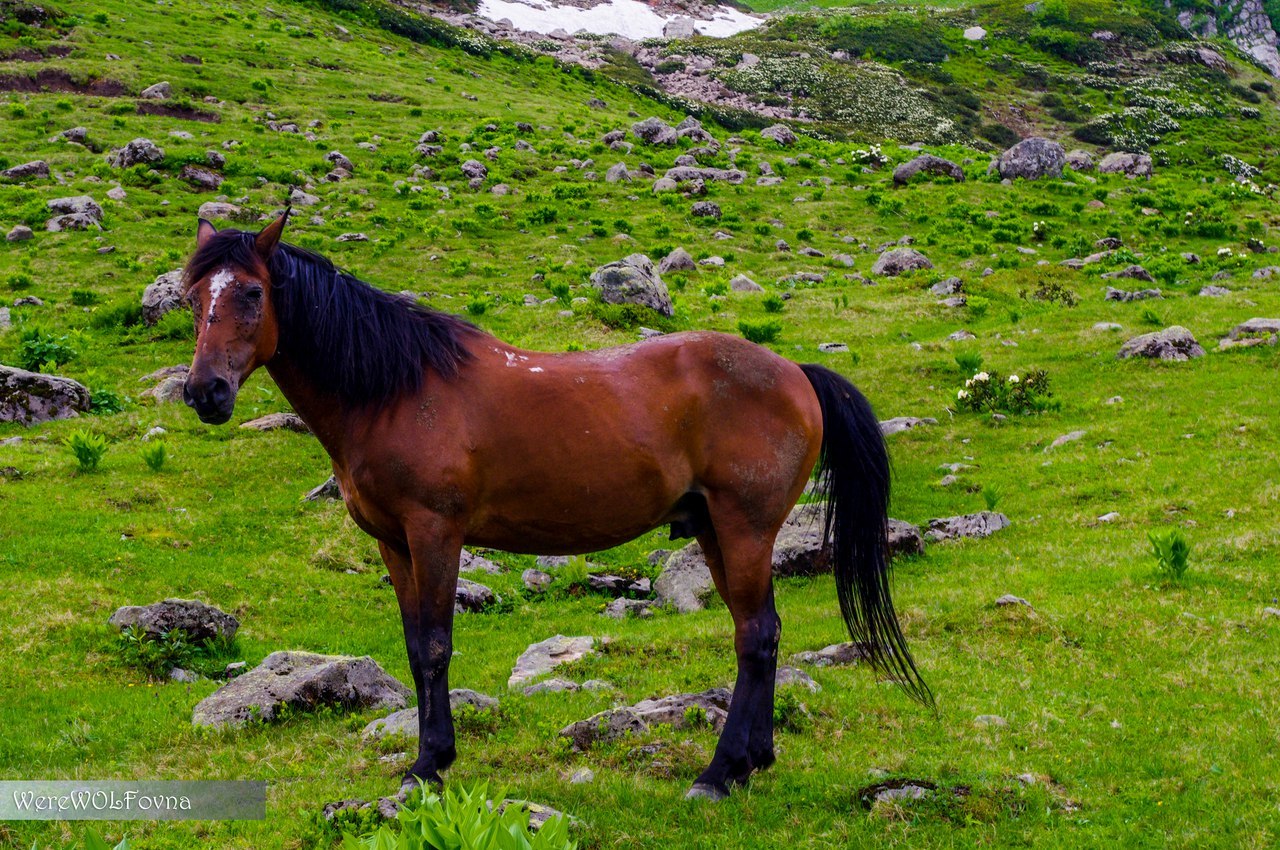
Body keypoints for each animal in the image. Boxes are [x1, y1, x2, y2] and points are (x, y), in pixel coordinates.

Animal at [180, 212, 926, 803]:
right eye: (192, 298)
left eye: (252, 292)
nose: (204, 392)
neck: (397, 390)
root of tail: (796, 373)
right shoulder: (393, 542)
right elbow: (414, 645)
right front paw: (426, 757)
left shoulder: (435, 532)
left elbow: (435, 647)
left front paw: (430, 765)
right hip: (715, 530)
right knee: (759, 635)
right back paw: (750, 762)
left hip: (744, 530)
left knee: (756, 636)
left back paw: (717, 775)